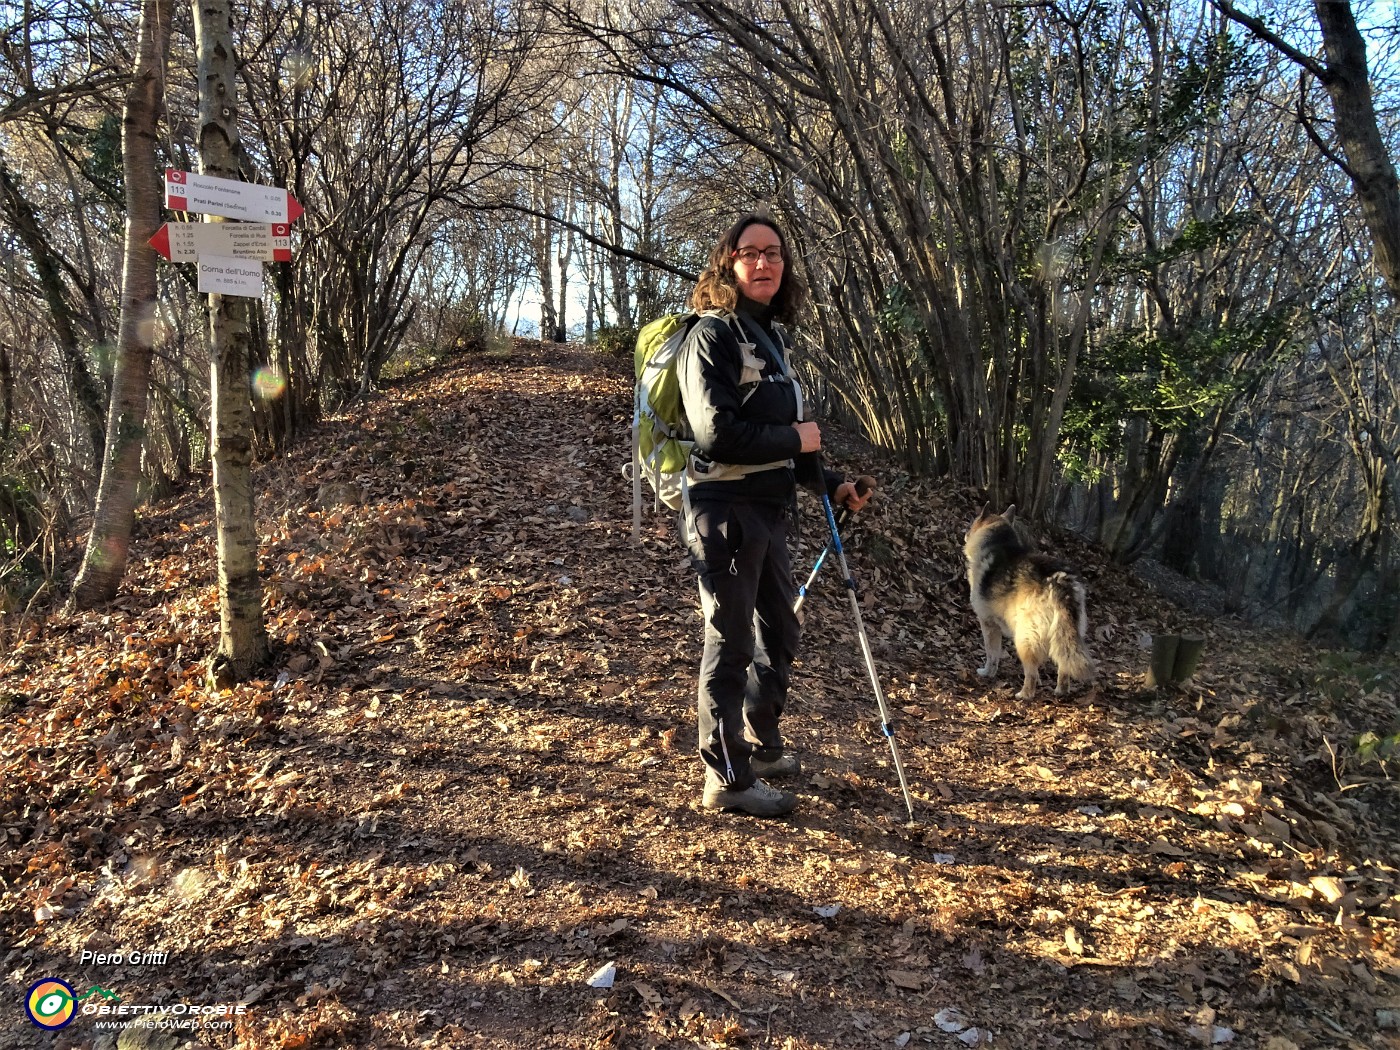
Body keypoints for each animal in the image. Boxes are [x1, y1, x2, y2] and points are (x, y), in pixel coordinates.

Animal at [963, 506, 1092, 702]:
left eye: (973, 523)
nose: (965, 534)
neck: (997, 542)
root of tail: (1060, 581)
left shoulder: (988, 624)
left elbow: (992, 654)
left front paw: (987, 673)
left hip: (1024, 637)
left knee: (1031, 672)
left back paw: (1024, 694)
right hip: (1065, 633)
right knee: (1063, 664)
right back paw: (1061, 691)